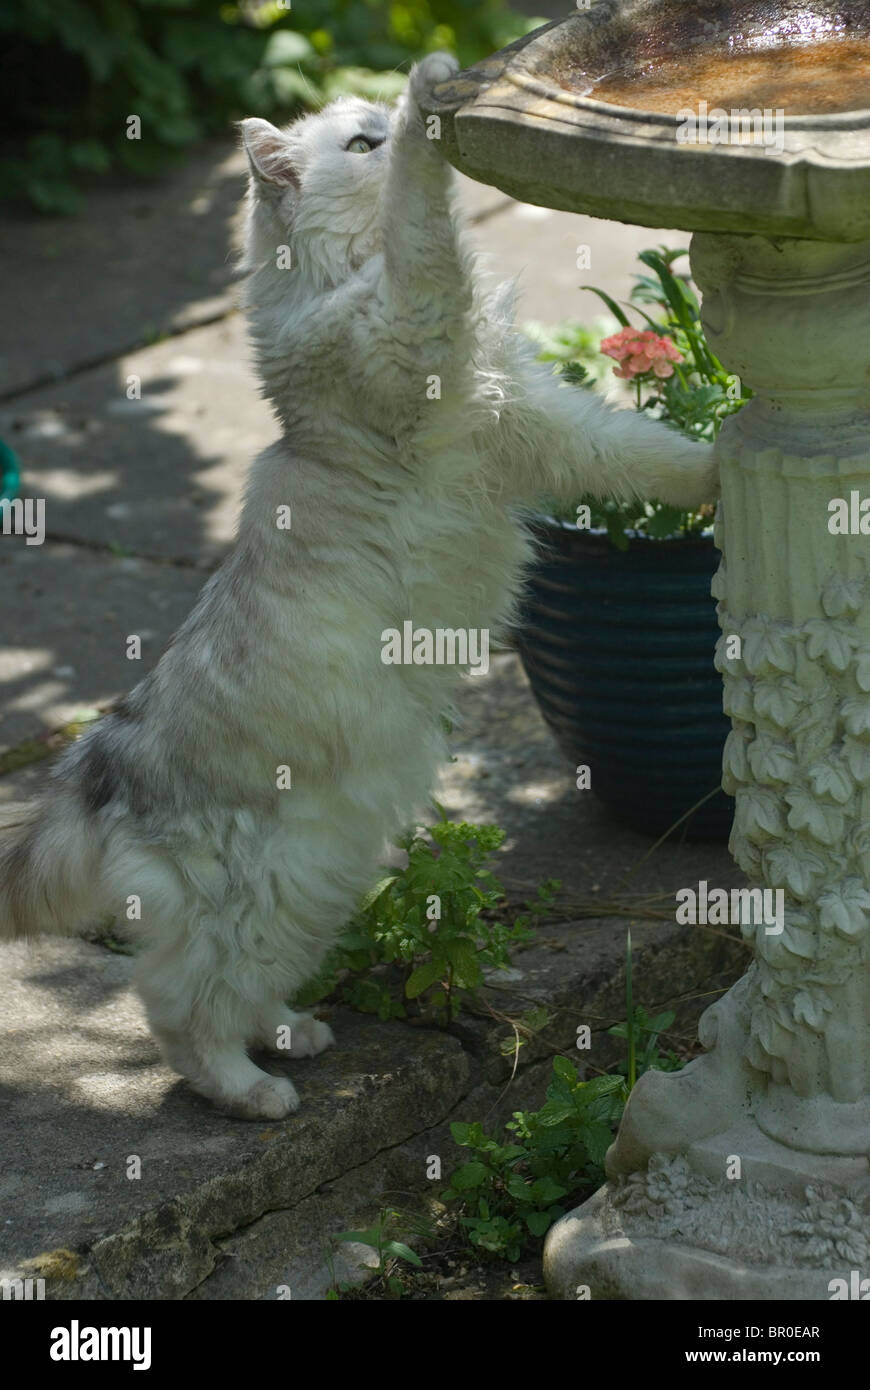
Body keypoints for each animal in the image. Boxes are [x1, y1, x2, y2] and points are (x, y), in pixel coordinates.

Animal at [0, 56, 717, 1117]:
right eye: (364, 144)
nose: (394, 116)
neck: (341, 274)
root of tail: (98, 759)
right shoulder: (418, 328)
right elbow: (424, 225)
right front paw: (434, 110)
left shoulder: (548, 428)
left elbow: (652, 455)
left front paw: (726, 468)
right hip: (255, 887)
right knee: (177, 1008)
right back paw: (253, 1093)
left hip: (317, 880)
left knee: (241, 986)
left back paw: (293, 1037)